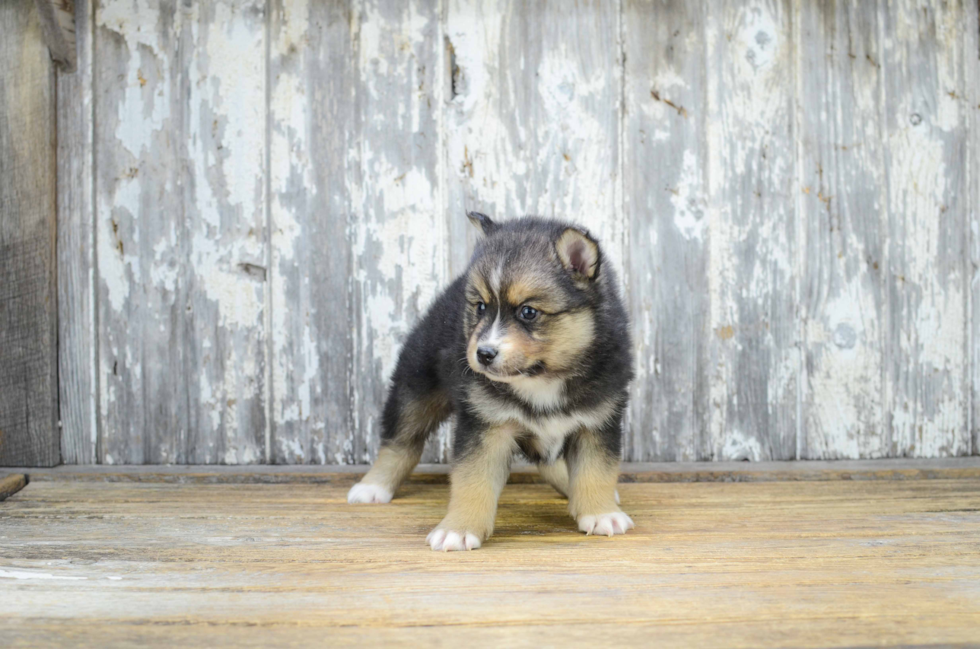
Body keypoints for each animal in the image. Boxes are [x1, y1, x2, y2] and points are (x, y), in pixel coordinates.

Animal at [346, 210, 636, 548]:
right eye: (481, 306)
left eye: (528, 312)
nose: (483, 354)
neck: (542, 378)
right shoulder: (486, 424)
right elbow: (473, 481)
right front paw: (458, 529)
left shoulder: (598, 422)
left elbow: (595, 471)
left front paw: (602, 512)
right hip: (414, 389)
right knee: (399, 442)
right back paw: (373, 486)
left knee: (549, 461)